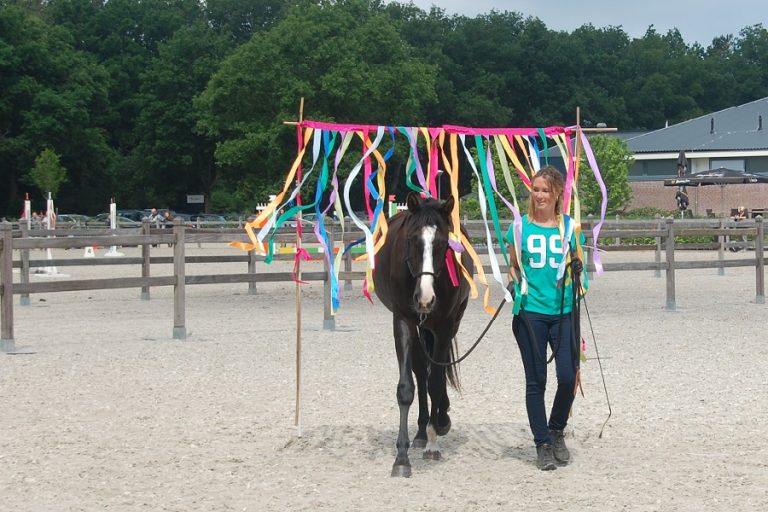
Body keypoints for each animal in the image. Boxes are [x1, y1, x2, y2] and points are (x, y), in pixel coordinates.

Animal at [373, 192, 474, 477]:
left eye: (443, 244)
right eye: (411, 240)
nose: (425, 299)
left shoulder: (444, 325)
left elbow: (437, 382)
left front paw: (435, 436)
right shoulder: (403, 321)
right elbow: (407, 386)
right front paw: (402, 457)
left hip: (449, 323)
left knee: (435, 372)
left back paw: (438, 422)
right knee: (420, 370)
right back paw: (419, 431)